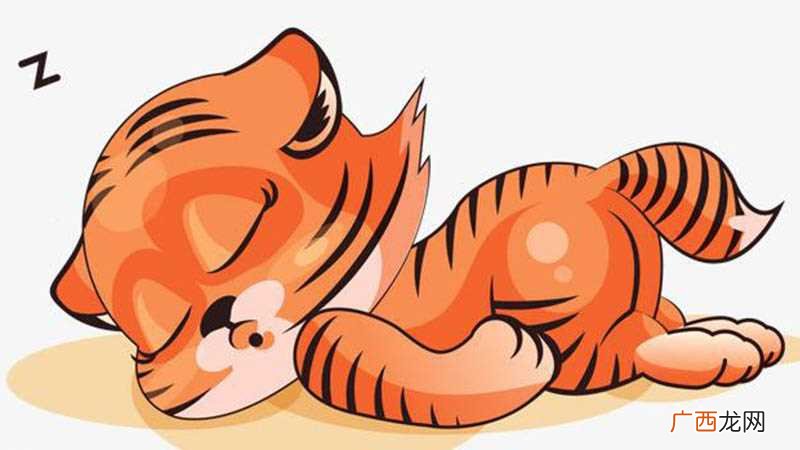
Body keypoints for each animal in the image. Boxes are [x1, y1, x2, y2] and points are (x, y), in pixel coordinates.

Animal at [52, 28, 784, 426]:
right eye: (143, 320)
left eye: (236, 234)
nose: (230, 331)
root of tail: (600, 178)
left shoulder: (328, 330)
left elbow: (334, 347)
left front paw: (506, 356)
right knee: (656, 320)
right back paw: (734, 335)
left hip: (550, 293)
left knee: (630, 344)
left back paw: (719, 347)